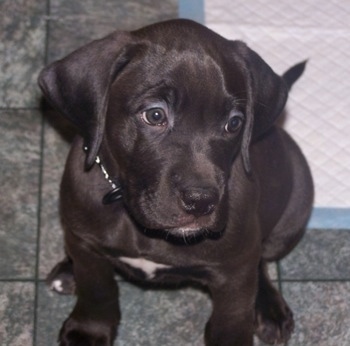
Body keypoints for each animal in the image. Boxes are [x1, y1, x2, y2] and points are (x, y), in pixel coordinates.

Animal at [39, 19, 314, 346]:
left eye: (234, 123)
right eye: (155, 114)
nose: (201, 201)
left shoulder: (234, 274)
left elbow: (232, 321)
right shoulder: (85, 243)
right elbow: (97, 289)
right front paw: (88, 330)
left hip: (289, 222)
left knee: (261, 260)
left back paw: (270, 308)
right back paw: (67, 271)